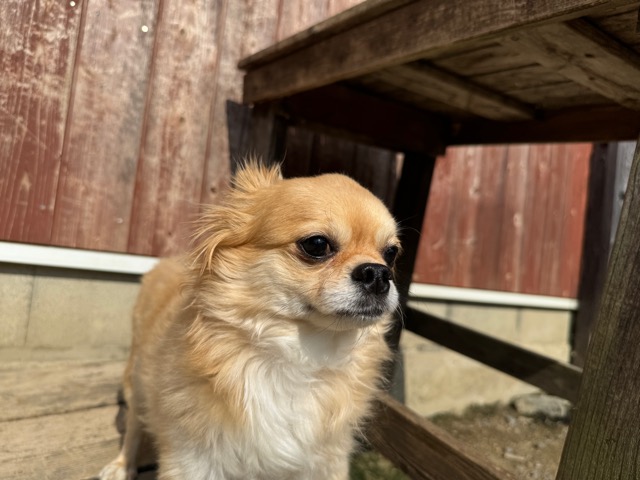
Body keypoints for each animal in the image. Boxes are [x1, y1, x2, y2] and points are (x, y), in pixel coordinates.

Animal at [99, 162, 400, 480]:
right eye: (317, 245)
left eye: (391, 254)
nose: (379, 273)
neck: (302, 359)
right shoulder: (193, 459)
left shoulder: (326, 463)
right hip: (138, 381)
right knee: (134, 425)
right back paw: (122, 465)